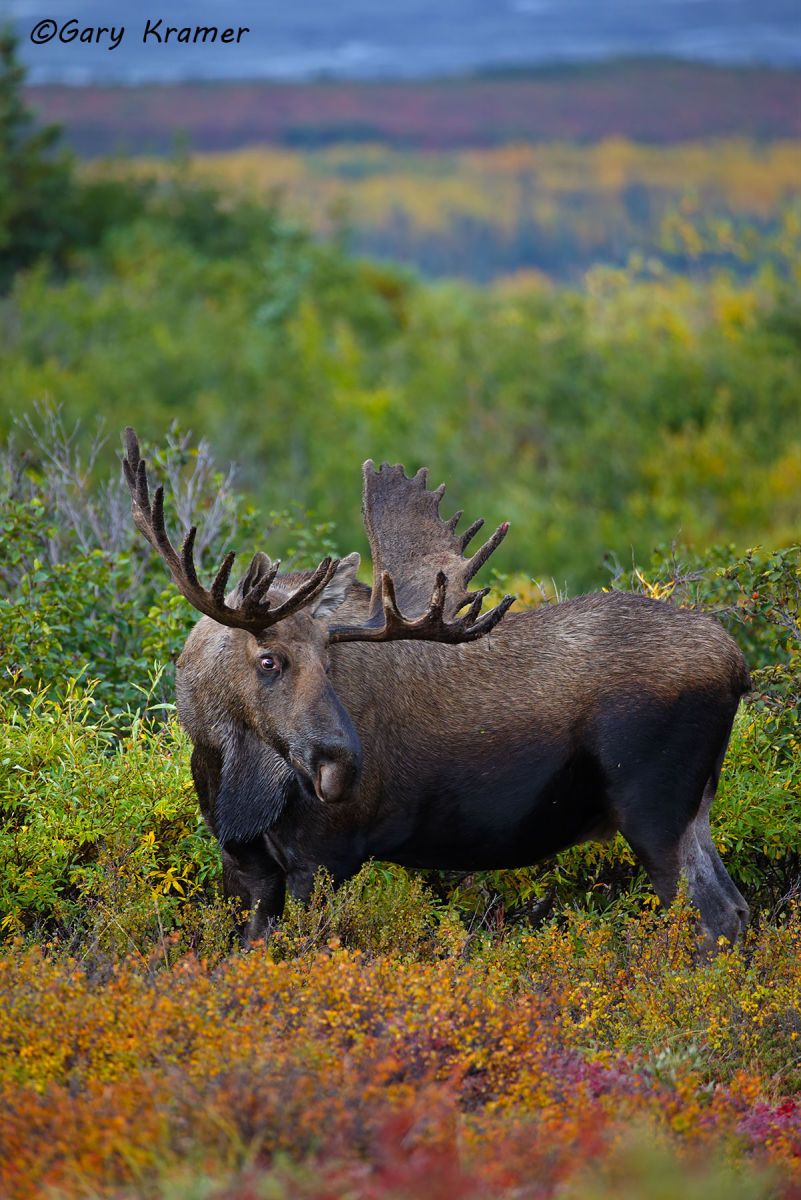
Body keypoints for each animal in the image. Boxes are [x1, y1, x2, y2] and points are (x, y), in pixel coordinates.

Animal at [122, 428, 751, 946]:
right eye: (269, 660)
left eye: (330, 660)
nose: (343, 765)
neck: (229, 768)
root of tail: (739, 666)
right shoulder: (245, 861)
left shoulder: (325, 857)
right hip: (692, 809)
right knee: (735, 908)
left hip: (652, 807)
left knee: (711, 918)